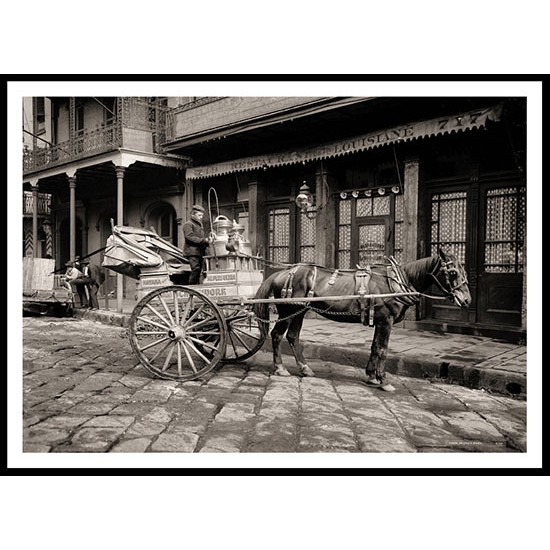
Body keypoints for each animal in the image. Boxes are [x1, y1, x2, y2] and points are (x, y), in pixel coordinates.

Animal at [253, 248, 470, 394]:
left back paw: (305, 369)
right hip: (289, 310)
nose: (467, 300)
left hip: (300, 311)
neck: (397, 282)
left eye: (464, 271)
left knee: (292, 336)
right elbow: (383, 349)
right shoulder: (386, 320)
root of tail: (282, 272)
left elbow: (374, 347)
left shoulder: (380, 320)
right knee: (277, 335)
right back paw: (280, 368)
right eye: (452, 273)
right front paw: (383, 380)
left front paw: (372, 376)